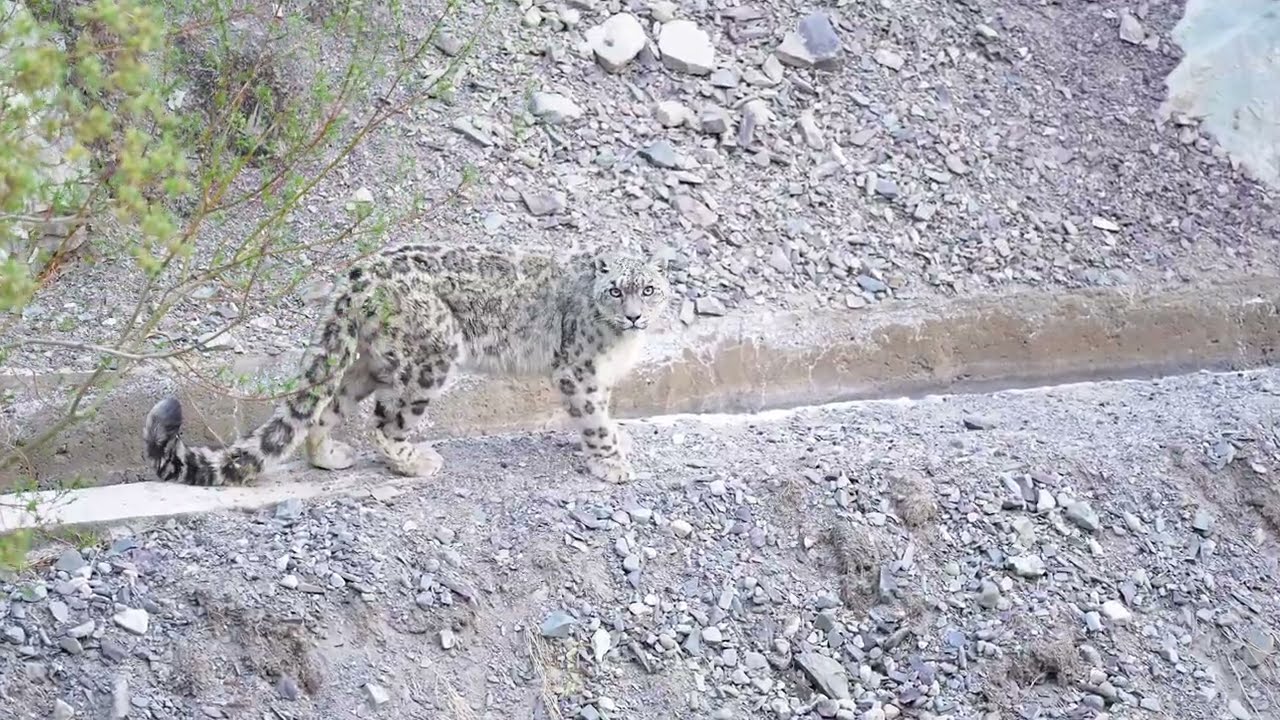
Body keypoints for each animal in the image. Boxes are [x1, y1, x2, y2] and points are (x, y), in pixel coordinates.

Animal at [142, 242, 671, 487]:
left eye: (649, 288)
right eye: (616, 290)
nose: (635, 315)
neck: (621, 343)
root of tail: (357, 273)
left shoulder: (601, 376)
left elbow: (603, 413)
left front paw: (616, 441)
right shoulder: (578, 371)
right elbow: (594, 420)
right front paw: (611, 462)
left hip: (371, 359)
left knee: (328, 405)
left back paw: (328, 455)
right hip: (432, 357)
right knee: (385, 420)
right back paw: (415, 461)